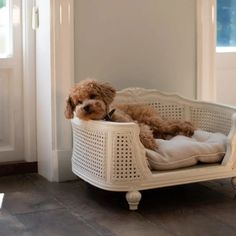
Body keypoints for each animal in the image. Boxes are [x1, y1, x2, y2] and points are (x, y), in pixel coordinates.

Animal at [63, 78, 195, 150]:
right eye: (78, 102)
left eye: (93, 95)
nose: (86, 107)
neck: (106, 118)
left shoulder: (135, 123)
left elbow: (143, 132)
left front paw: (150, 144)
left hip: (153, 121)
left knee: (175, 123)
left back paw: (188, 130)